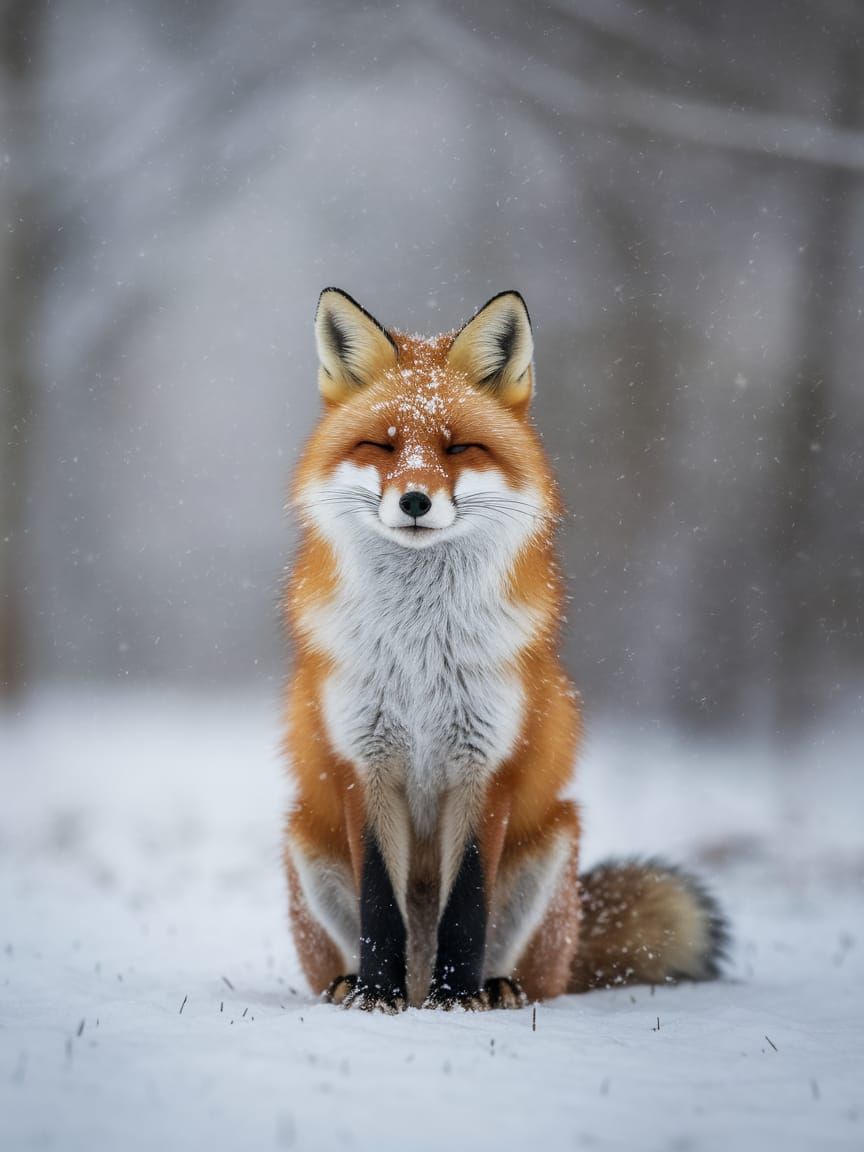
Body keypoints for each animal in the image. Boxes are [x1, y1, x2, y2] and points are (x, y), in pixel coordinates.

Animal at [282, 287, 727, 1011]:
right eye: (382, 443)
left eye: (460, 446)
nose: (414, 500)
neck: (420, 650)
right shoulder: (362, 764)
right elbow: (380, 903)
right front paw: (377, 995)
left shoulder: (487, 765)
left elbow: (467, 902)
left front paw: (457, 999)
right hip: (302, 837)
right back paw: (367, 985)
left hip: (555, 844)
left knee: (536, 975)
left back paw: (491, 987)